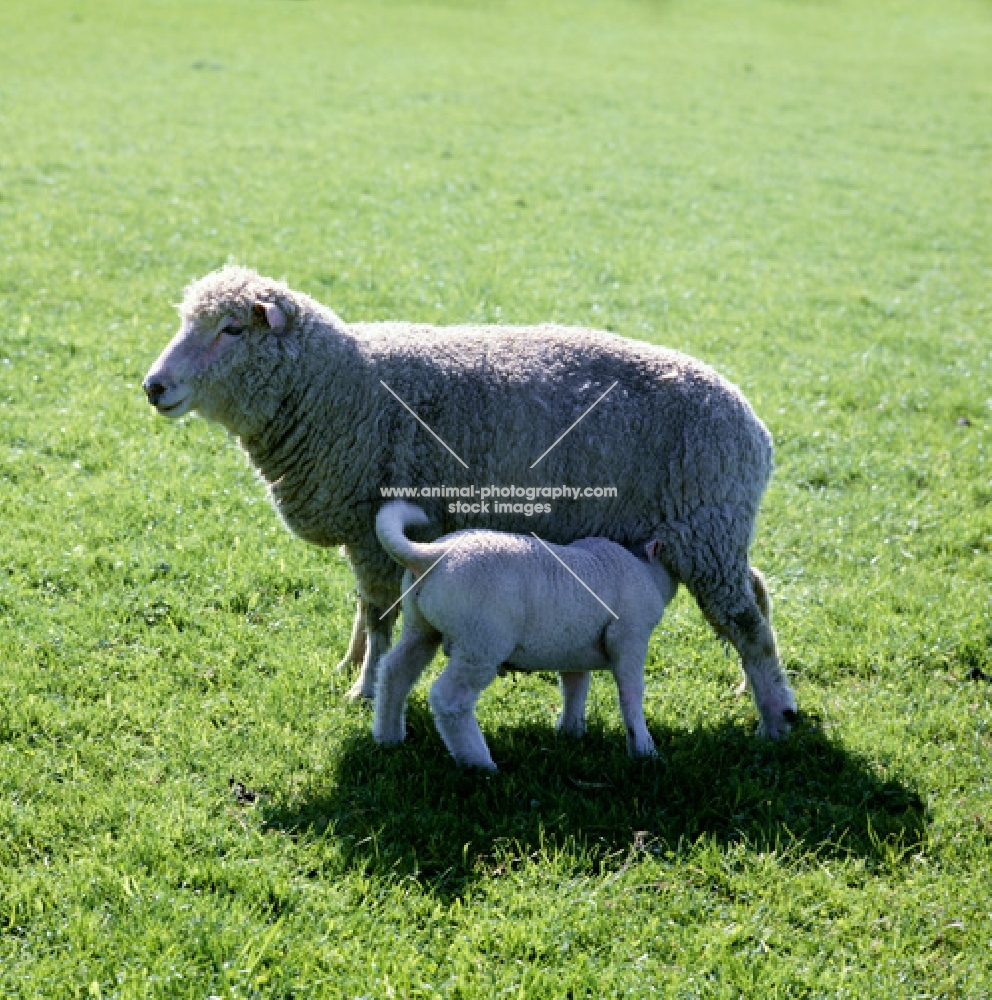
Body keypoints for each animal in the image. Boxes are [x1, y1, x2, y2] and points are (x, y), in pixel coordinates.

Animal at [141, 262, 800, 740]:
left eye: (231, 329)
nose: (153, 386)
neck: (340, 386)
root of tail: (754, 425)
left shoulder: (373, 521)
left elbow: (379, 614)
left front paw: (364, 687)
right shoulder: (360, 527)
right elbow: (362, 607)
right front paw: (350, 665)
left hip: (705, 526)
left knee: (745, 621)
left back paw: (773, 719)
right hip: (712, 532)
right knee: (758, 594)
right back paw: (753, 692)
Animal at [376, 500, 680, 772]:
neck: (646, 572)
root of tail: (431, 553)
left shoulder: (572, 648)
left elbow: (575, 686)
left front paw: (570, 731)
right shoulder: (629, 636)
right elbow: (631, 692)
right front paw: (644, 750)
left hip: (420, 627)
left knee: (395, 671)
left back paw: (388, 737)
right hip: (481, 640)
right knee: (450, 699)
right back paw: (479, 763)